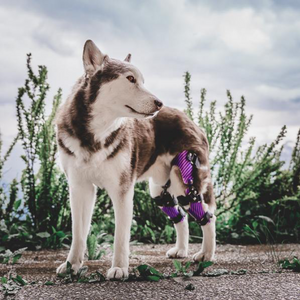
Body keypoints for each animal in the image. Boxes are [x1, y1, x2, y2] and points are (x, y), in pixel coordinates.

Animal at [56, 39, 216, 278]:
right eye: (130, 79)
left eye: (141, 81)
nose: (159, 103)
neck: (94, 134)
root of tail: (188, 118)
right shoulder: (79, 188)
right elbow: (78, 233)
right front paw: (72, 265)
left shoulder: (122, 191)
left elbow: (121, 237)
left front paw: (119, 268)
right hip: (159, 190)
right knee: (181, 218)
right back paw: (180, 250)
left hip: (186, 183)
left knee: (207, 217)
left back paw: (207, 255)